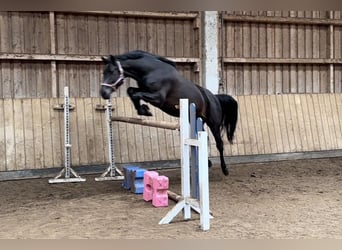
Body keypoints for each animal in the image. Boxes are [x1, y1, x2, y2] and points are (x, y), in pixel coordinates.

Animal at [99, 50, 238, 176]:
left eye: (112, 71)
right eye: (104, 72)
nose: (103, 93)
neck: (152, 70)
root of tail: (214, 97)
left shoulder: (158, 98)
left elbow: (135, 93)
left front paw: (145, 110)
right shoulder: (144, 90)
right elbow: (131, 91)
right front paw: (143, 110)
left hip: (213, 124)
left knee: (219, 144)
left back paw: (225, 169)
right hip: (197, 120)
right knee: (203, 139)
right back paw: (207, 163)